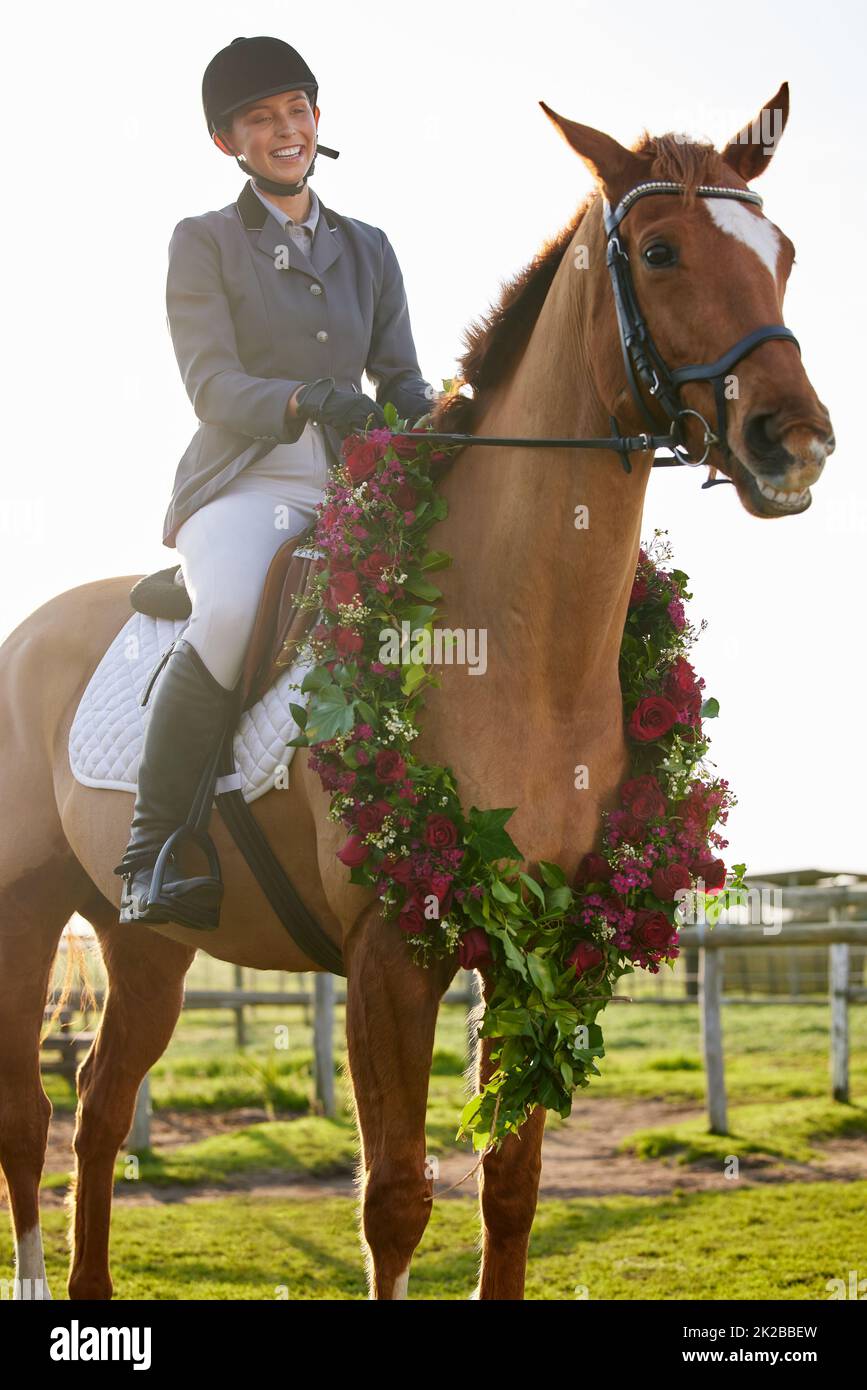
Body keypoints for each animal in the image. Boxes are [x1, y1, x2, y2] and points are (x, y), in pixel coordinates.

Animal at [1, 84, 839, 1301]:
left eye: (782, 254)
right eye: (659, 250)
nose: (796, 443)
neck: (518, 645)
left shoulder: (545, 940)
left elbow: (512, 1189)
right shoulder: (388, 955)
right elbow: (394, 1200)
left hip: (142, 937)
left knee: (102, 1104)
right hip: (23, 911)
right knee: (27, 1118)